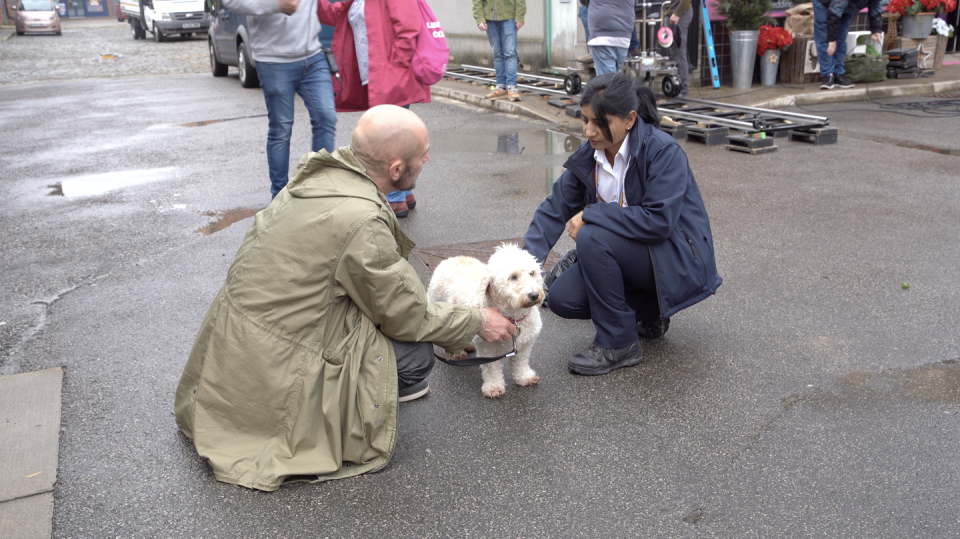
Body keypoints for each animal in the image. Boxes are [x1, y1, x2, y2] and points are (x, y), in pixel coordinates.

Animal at [426, 243, 544, 398]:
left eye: (532, 273)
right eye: (513, 277)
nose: (534, 295)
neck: (514, 317)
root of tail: (452, 259)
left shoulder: (524, 345)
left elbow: (520, 363)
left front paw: (524, 377)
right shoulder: (488, 348)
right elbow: (491, 369)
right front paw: (493, 387)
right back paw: (457, 353)